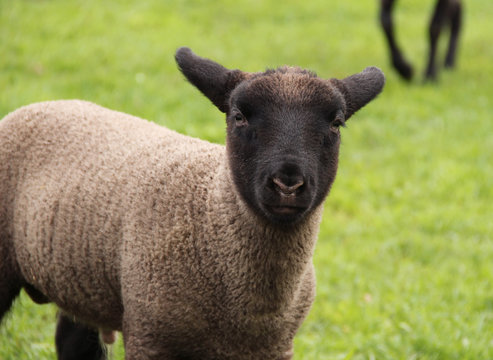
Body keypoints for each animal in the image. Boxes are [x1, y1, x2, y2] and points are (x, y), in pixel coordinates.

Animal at [0, 48, 384, 360]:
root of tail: (50, 102)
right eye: (239, 116)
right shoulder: (150, 337)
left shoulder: (274, 347)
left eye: (336, 123)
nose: (287, 184)